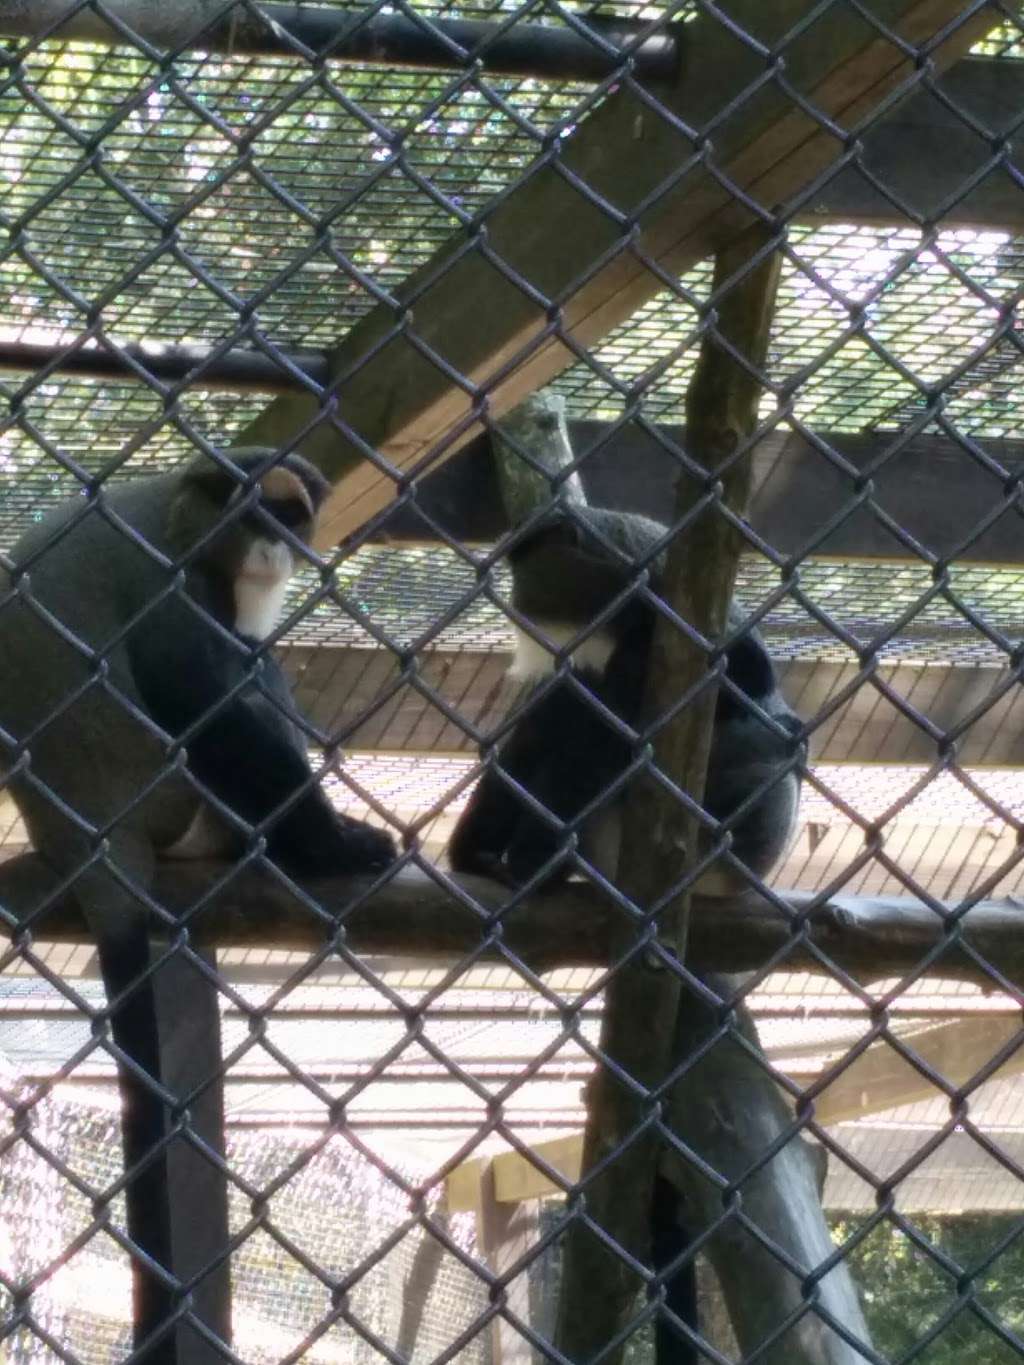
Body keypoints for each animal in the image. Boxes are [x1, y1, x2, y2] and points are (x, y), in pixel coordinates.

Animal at [0, 444, 395, 1354]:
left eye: (290, 513)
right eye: (247, 507)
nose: (274, 544)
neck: (185, 518)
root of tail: (94, 843)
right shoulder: (170, 586)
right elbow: (202, 696)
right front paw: (338, 845)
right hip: (174, 801)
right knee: (245, 681)